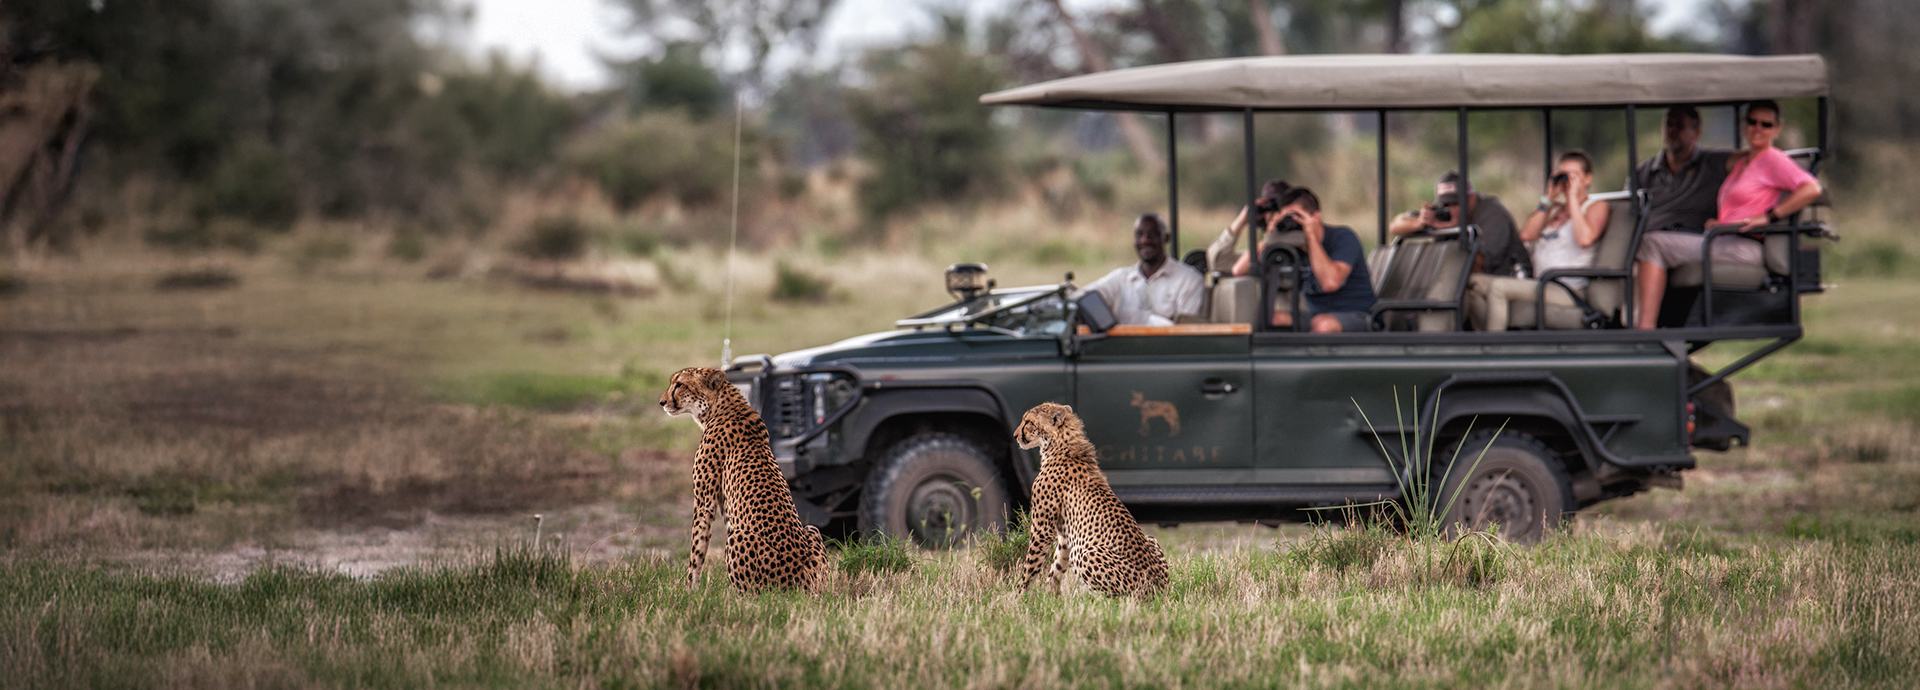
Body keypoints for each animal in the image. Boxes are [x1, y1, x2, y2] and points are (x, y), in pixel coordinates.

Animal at [659, 367, 828, 593]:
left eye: (679, 384)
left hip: (739, 537)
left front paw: (689, 592)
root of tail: (804, 580)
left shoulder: (704, 503)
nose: (662, 402)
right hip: (812, 530)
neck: (720, 406)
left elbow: (697, 550)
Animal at [1013, 402, 1170, 598]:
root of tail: (1161, 590)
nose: (1015, 435)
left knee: (1115, 599)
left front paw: (1017, 595)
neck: (1060, 446)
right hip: (1150, 539)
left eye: (1028, 422)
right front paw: (1051, 598)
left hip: (1085, 552)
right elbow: (1056, 567)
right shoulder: (1065, 536)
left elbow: (1031, 565)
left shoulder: (1043, 530)